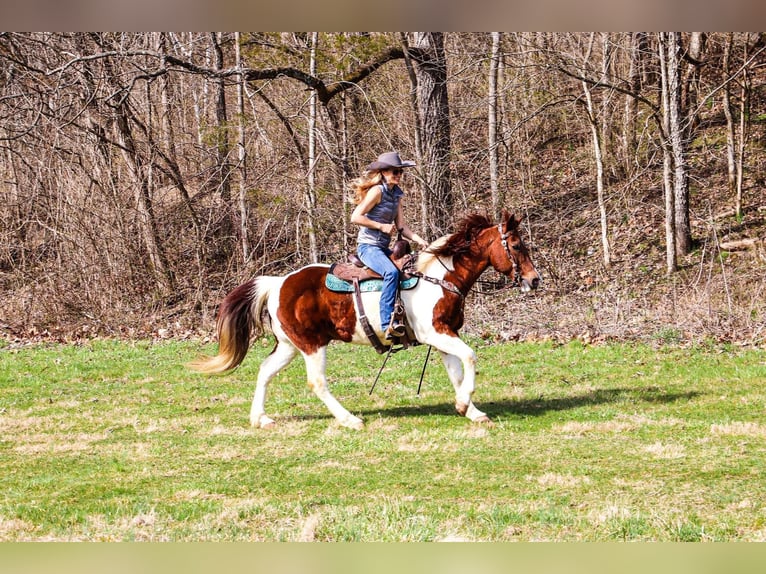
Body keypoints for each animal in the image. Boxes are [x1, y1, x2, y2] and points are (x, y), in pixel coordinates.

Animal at [191, 209, 540, 430]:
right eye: (517, 245)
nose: (534, 280)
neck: (440, 277)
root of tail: (278, 283)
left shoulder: (445, 336)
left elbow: (457, 372)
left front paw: (470, 410)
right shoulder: (435, 334)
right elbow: (470, 356)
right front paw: (465, 404)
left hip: (289, 345)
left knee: (264, 371)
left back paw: (260, 418)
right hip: (312, 345)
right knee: (317, 382)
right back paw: (349, 419)